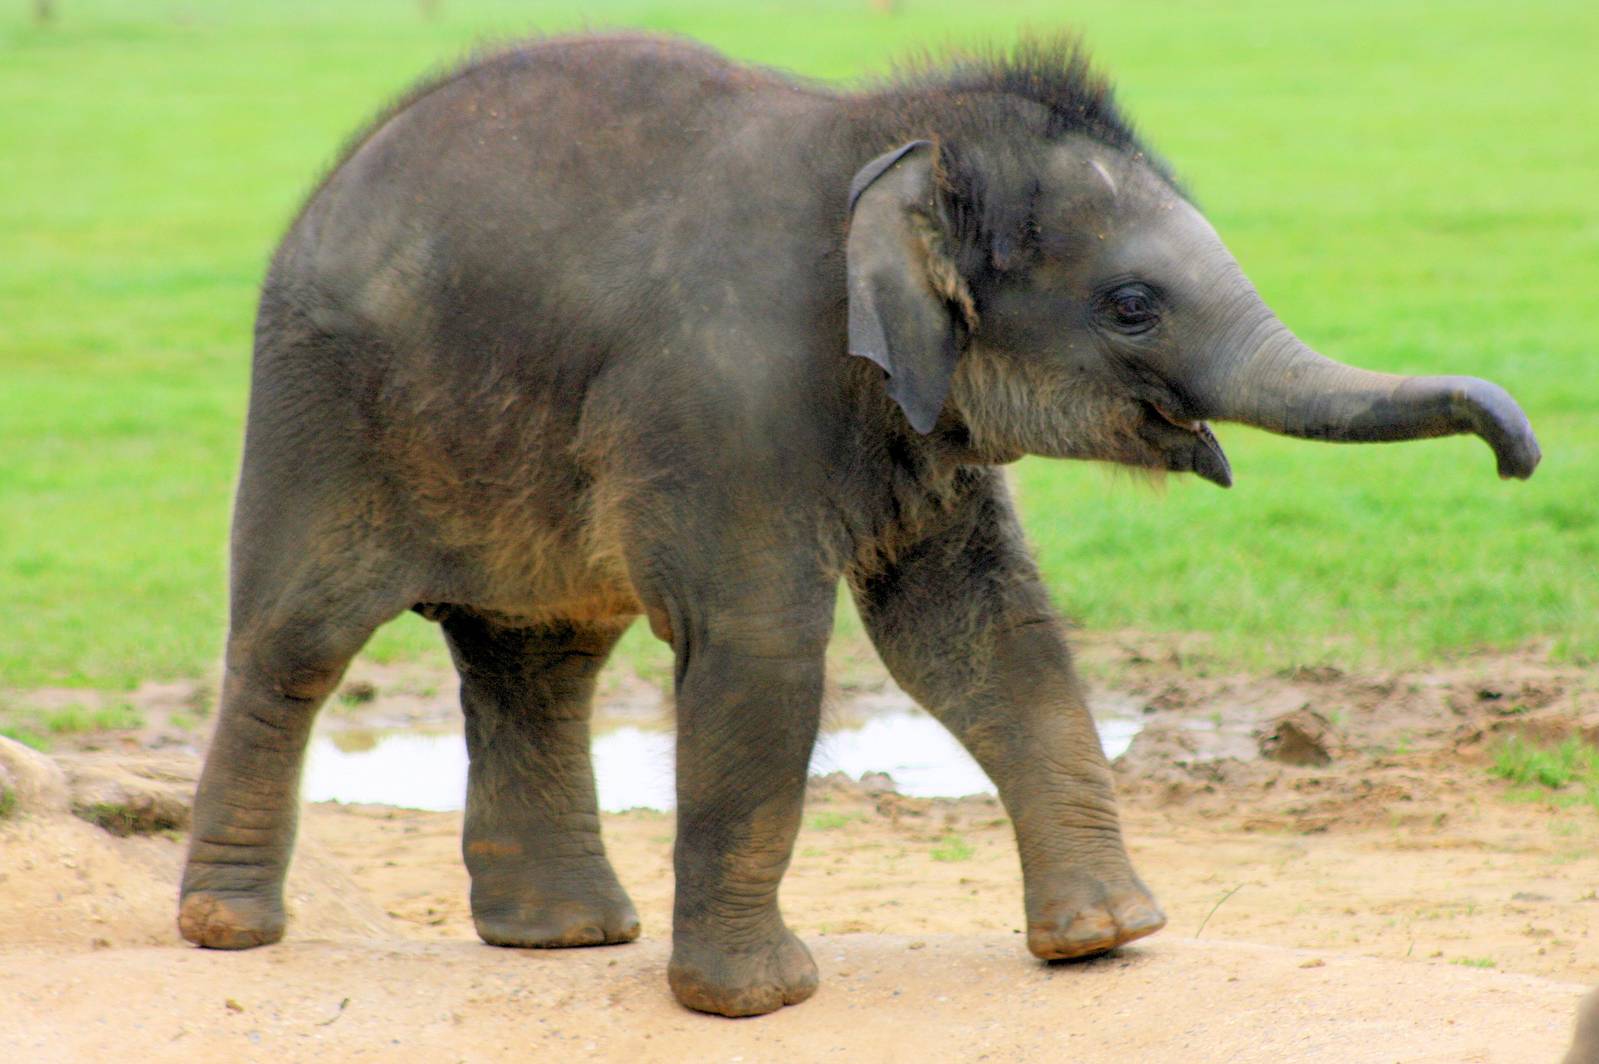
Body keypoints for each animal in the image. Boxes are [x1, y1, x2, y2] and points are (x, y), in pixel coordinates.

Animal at [178, 33, 1540, 1017]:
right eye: (1133, 305)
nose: (1520, 454)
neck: (892, 139)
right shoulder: (728, 395)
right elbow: (766, 651)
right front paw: (758, 1003)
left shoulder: (918, 412)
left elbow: (985, 633)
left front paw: (1106, 940)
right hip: (317, 411)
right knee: (297, 644)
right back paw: (231, 930)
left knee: (539, 658)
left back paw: (565, 937)